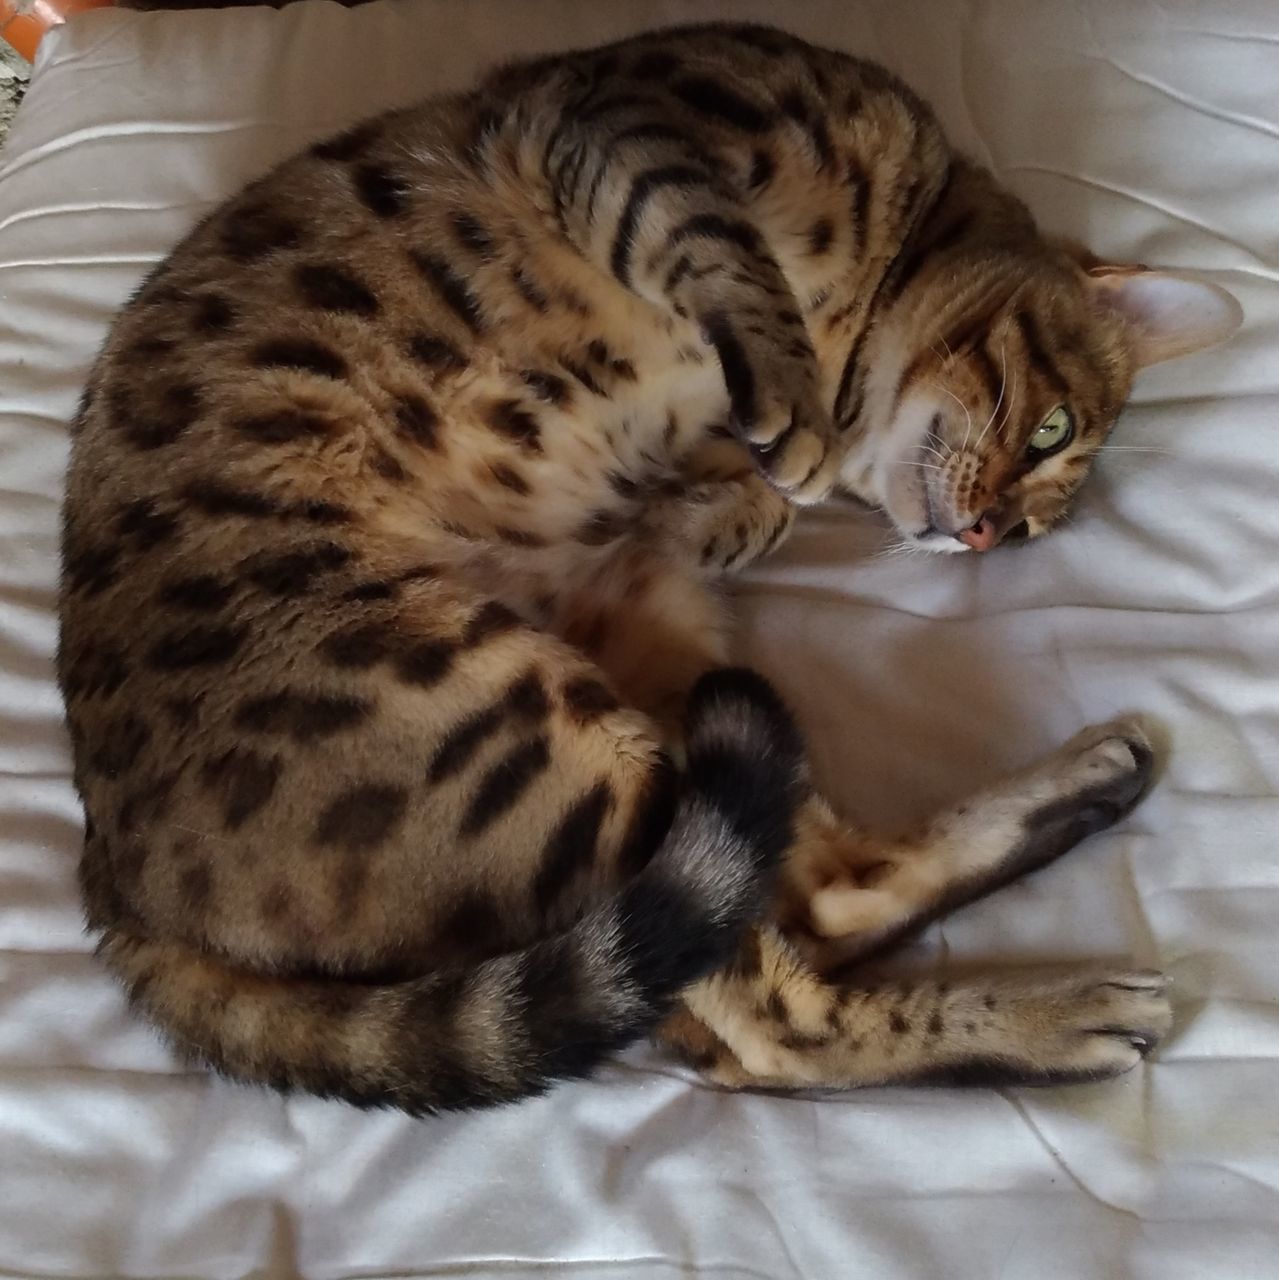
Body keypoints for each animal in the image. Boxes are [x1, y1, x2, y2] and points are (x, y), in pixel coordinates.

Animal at [60, 24, 1239, 1116]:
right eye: (1051, 429)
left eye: (1041, 524)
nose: (992, 531)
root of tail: (111, 888)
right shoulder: (627, 125)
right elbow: (724, 253)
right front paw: (782, 420)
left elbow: (745, 493)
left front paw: (731, 496)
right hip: (522, 720)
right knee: (773, 1010)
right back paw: (1067, 1010)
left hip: (620, 703)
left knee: (798, 918)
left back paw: (1090, 799)